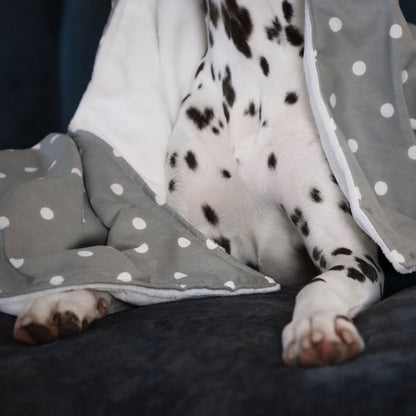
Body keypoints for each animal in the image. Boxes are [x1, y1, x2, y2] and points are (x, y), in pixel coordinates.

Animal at [13, 0, 384, 368]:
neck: (247, 79)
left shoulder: (349, 254)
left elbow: (319, 284)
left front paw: (315, 323)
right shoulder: (190, 248)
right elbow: (126, 275)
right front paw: (64, 297)